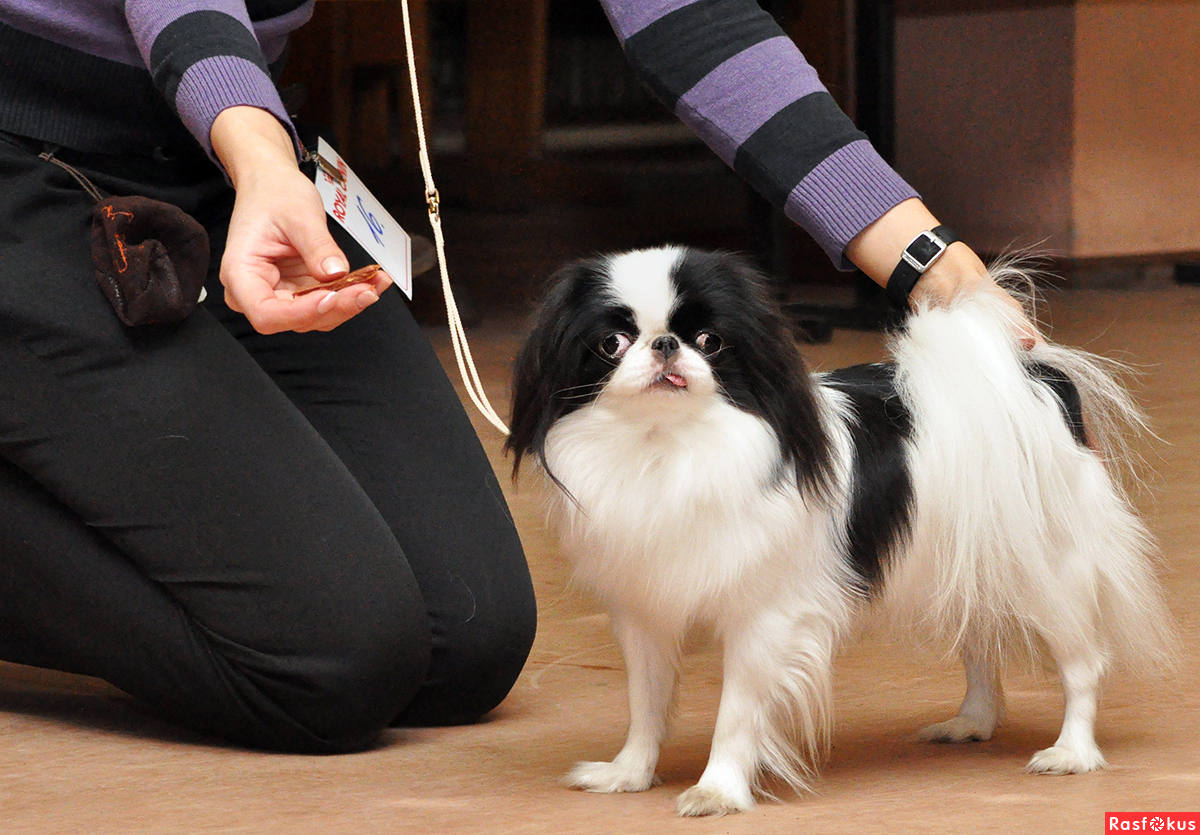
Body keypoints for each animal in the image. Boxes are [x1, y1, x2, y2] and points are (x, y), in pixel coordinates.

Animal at [504, 245, 1171, 815]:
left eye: (710, 341)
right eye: (611, 343)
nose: (665, 343)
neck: (667, 449)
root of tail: (1032, 378)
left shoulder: (763, 620)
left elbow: (735, 713)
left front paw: (718, 790)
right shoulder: (644, 613)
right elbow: (645, 703)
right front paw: (629, 773)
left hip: (1050, 574)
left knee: (1083, 663)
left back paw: (1071, 753)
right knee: (980, 644)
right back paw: (972, 723)